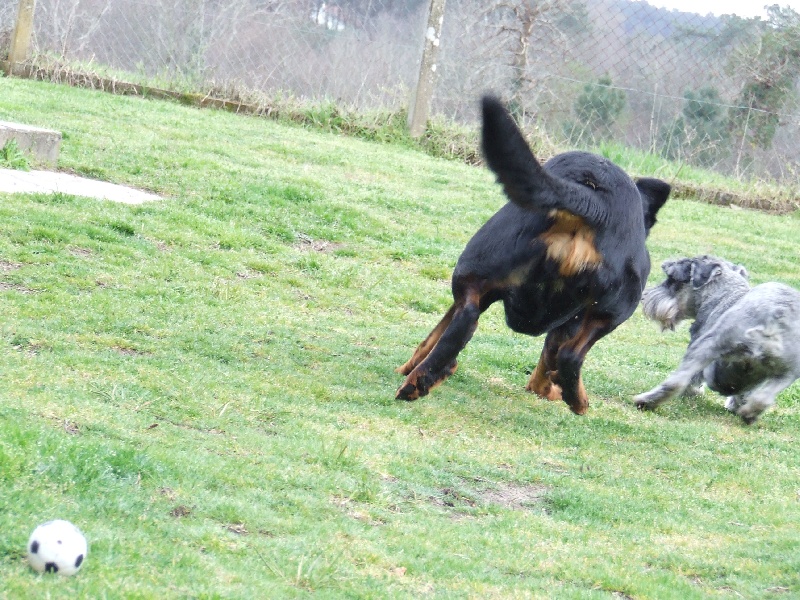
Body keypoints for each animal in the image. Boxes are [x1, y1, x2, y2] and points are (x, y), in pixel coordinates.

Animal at [396, 96, 672, 414]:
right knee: (571, 356)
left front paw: (413, 367)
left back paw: (421, 380)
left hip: (476, 268)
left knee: (465, 317)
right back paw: (577, 400)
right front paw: (548, 388)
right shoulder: (572, 321)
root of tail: (592, 197)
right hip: (619, 307)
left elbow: (433, 335)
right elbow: (548, 361)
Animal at [632, 255, 800, 424]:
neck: (724, 295)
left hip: (709, 345)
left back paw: (645, 401)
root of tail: (778, 315)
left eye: (672, 278)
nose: (644, 297)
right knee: (762, 399)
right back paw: (749, 414)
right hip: (789, 372)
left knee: (676, 382)